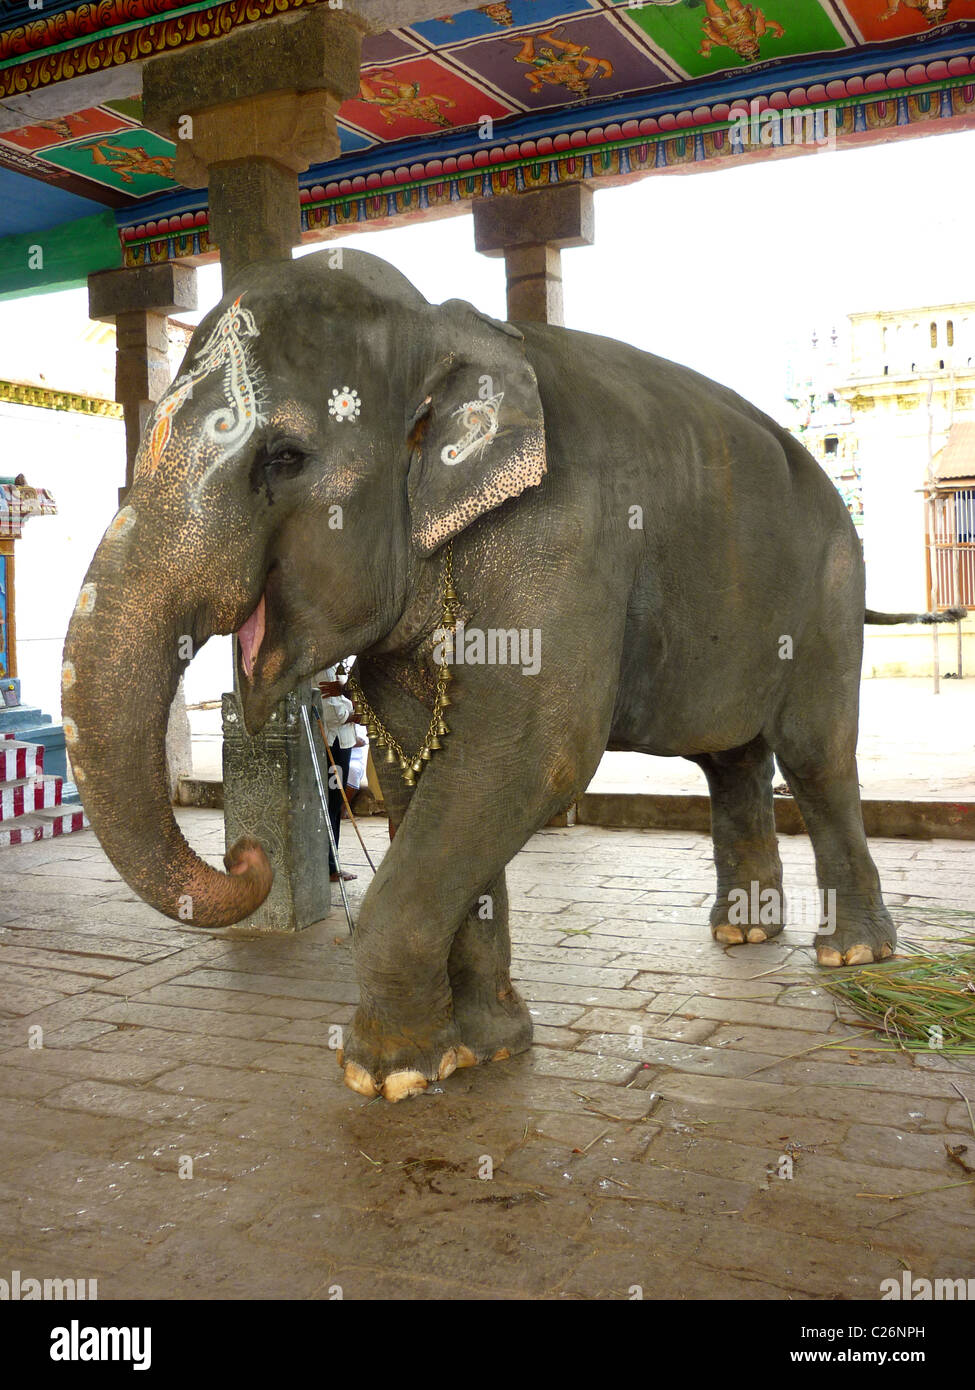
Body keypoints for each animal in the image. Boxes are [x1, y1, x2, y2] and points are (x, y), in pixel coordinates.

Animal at [62, 244, 895, 1100]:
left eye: (283, 459)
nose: (244, 858)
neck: (439, 329)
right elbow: (416, 768)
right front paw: (484, 1050)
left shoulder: (559, 540)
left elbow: (528, 757)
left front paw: (384, 1076)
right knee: (730, 757)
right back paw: (742, 932)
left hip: (831, 586)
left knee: (816, 754)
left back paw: (852, 954)